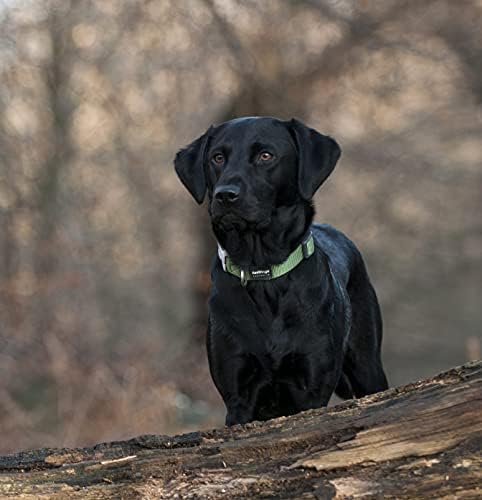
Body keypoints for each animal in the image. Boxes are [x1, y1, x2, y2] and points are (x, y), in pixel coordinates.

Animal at [175, 117, 390, 426]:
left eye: (266, 156)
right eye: (217, 158)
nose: (225, 195)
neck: (262, 271)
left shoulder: (311, 387)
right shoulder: (237, 396)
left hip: (367, 365)